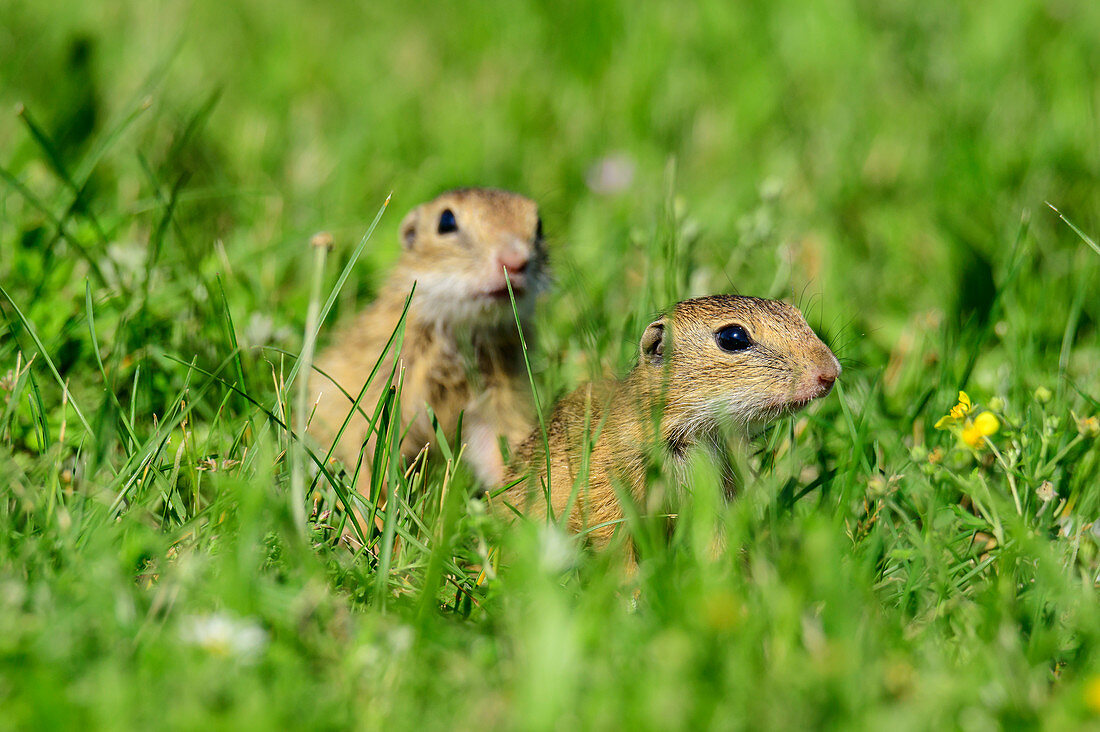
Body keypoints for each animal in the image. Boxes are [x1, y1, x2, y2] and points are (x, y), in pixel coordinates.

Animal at [308, 186, 547, 499]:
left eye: (539, 225)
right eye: (446, 221)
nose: (516, 261)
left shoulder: (500, 395)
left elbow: (495, 443)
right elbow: (366, 448)